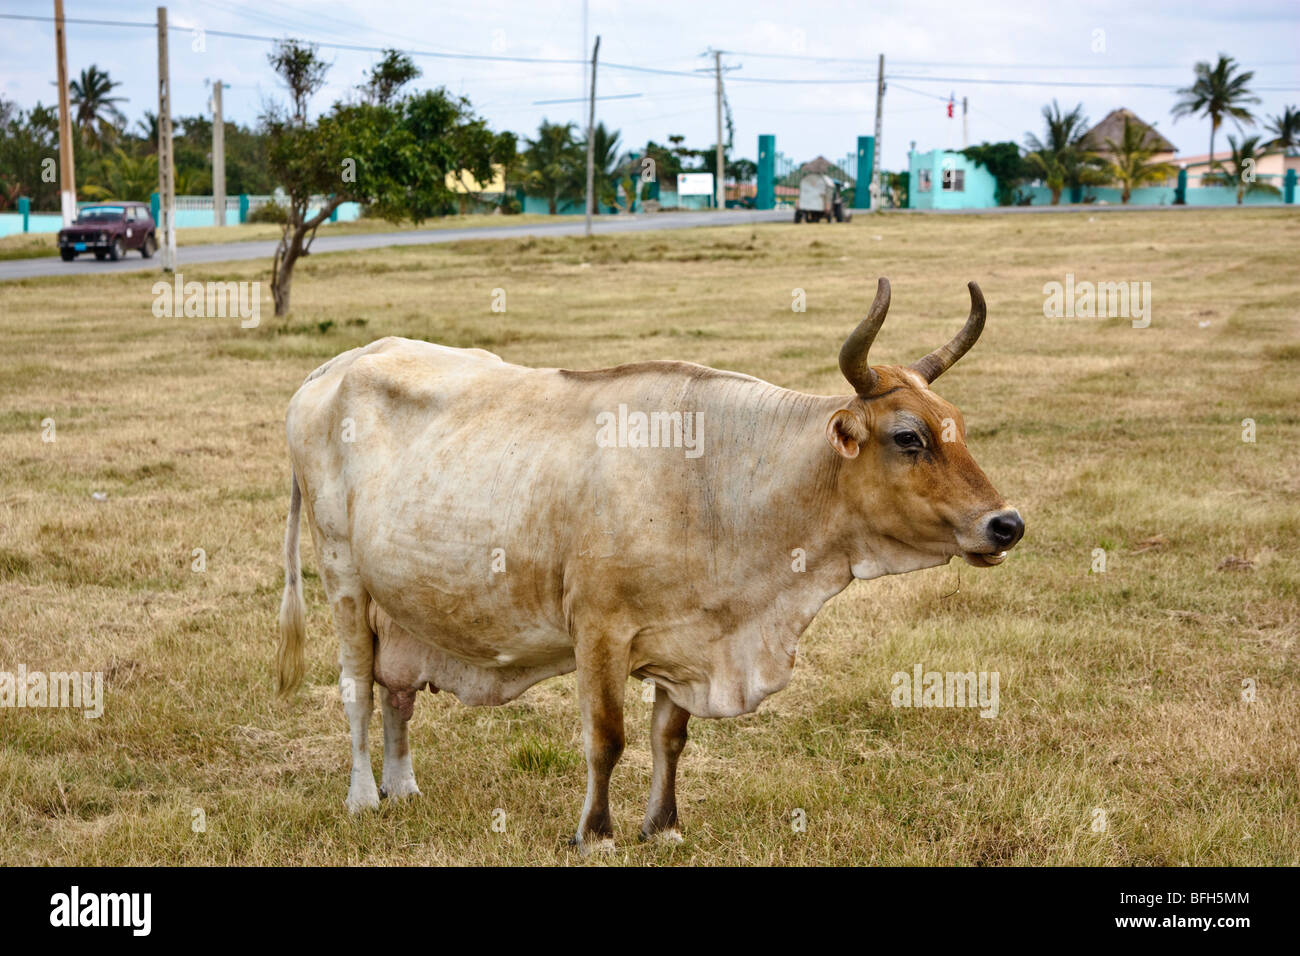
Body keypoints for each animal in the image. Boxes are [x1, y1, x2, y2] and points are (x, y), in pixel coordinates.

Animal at [276, 277, 1024, 851]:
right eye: (908, 437)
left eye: (958, 425)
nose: (1006, 524)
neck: (712, 479)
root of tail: (330, 370)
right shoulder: (599, 630)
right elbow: (607, 738)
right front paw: (596, 833)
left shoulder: (687, 637)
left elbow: (670, 736)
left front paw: (663, 826)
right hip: (343, 577)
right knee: (357, 688)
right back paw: (364, 795)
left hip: (402, 602)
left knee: (397, 692)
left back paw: (402, 787)